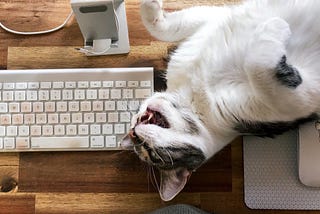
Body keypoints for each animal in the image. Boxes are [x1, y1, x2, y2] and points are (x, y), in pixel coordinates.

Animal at [121, 0, 320, 201]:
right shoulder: (294, 102)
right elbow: (257, 66)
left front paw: (150, 6)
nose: (134, 130)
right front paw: (275, 26)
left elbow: (167, 27)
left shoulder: (212, 20)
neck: (190, 95)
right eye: (151, 153)